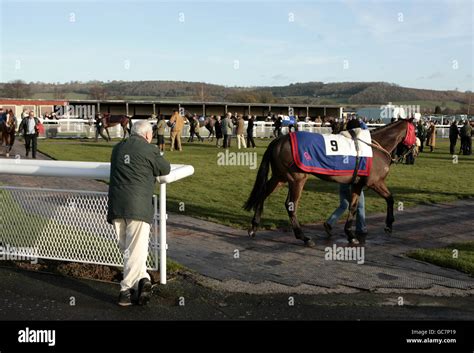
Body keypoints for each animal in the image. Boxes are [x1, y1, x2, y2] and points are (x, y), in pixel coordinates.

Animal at [244, 118, 414, 245]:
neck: (374, 147)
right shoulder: (375, 182)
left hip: (280, 177)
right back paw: (303, 237)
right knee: (290, 205)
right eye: (415, 131)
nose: (416, 145)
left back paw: (254, 227)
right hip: (296, 179)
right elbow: (390, 198)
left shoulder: (357, 184)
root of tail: (279, 140)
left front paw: (350, 234)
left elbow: (353, 206)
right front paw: (389, 225)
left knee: (263, 193)